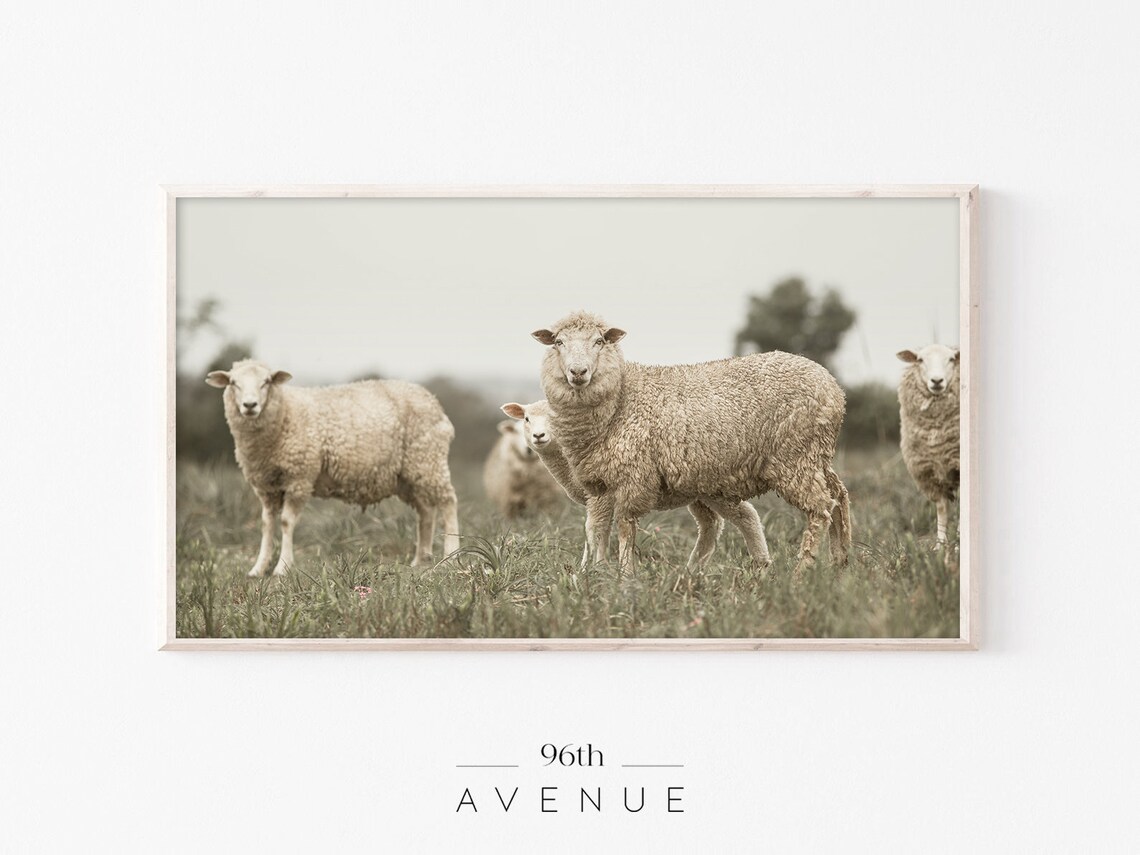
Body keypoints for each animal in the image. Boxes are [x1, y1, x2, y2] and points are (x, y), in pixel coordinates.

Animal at [205, 359, 460, 576]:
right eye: (233, 383)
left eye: (266, 381)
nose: (250, 405)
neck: (285, 414)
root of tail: (433, 401)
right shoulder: (267, 486)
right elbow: (267, 524)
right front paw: (258, 569)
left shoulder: (299, 477)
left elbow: (286, 522)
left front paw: (283, 567)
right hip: (408, 475)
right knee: (425, 512)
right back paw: (421, 559)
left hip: (428, 460)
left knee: (448, 503)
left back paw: (451, 556)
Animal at [501, 399, 768, 573]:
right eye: (526, 419)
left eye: (556, 418)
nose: (538, 437)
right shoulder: (603, 497)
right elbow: (601, 530)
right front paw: (598, 566)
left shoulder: (602, 495)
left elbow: (593, 528)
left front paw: (589, 570)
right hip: (702, 491)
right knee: (713, 523)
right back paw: (693, 570)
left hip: (716, 486)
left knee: (746, 516)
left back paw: (761, 564)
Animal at [532, 311, 851, 576]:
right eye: (558, 342)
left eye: (599, 341)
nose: (578, 372)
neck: (621, 397)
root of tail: (834, 388)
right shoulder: (604, 484)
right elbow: (601, 529)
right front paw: (601, 574)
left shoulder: (633, 477)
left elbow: (623, 527)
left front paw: (624, 578)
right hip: (814, 456)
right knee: (839, 496)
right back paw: (840, 562)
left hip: (794, 457)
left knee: (820, 509)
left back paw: (802, 573)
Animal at [896, 344, 961, 547]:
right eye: (920, 360)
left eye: (951, 359)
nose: (937, 381)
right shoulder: (929, 472)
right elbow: (941, 508)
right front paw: (940, 544)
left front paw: (958, 541)